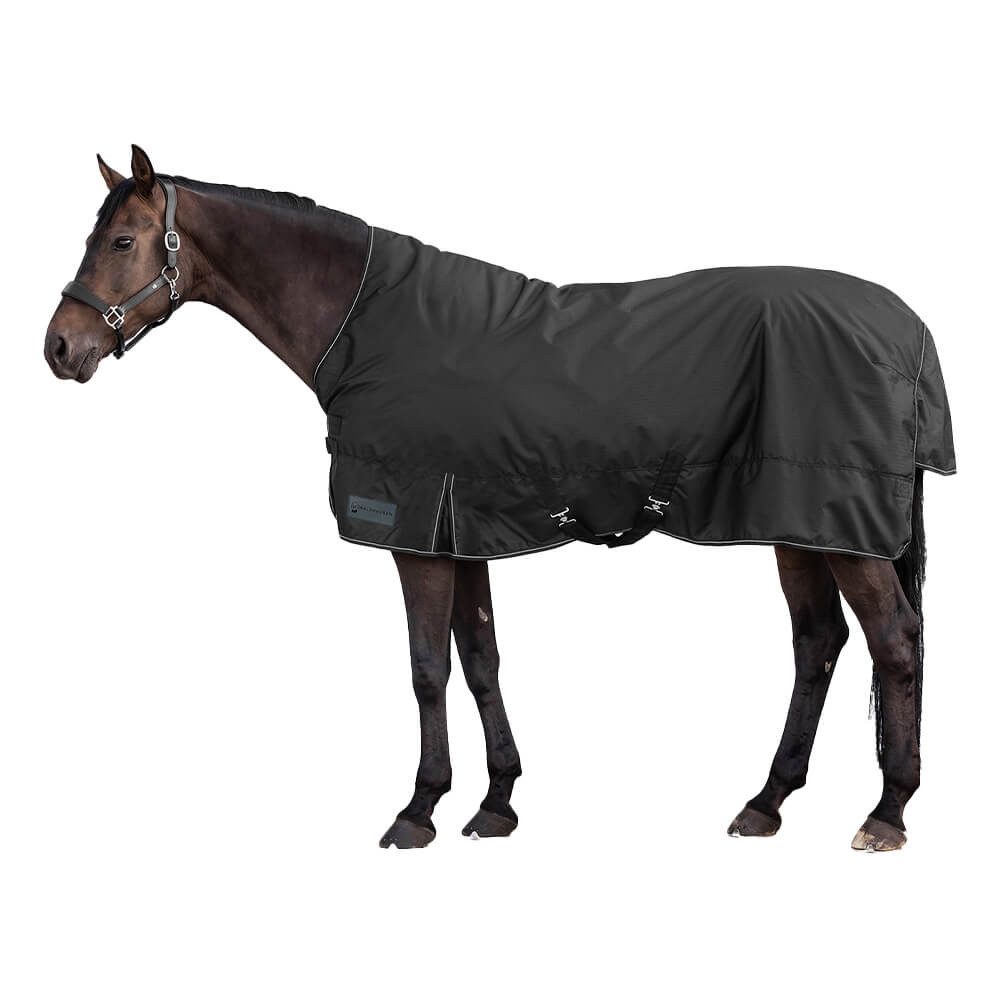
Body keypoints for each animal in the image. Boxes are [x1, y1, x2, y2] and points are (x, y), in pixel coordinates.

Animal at [45, 146, 955, 851]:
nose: (59, 347)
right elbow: (479, 660)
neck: (365, 325)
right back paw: (765, 802)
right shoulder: (463, 526)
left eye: (121, 240)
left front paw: (418, 810)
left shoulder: (415, 530)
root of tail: (906, 328)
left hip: (839, 529)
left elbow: (427, 670)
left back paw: (887, 814)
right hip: (799, 522)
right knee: (819, 644)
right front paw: (495, 803)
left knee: (896, 645)